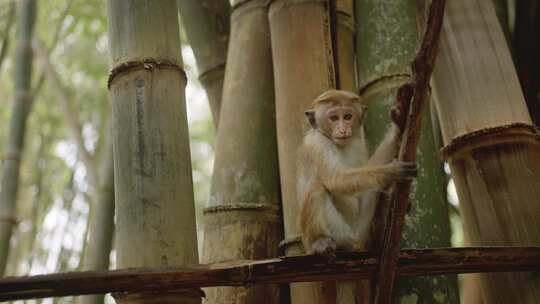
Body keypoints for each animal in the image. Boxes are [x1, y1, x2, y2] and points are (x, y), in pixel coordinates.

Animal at [296, 88, 418, 256]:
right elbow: (335, 180)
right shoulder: (317, 143)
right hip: (339, 233)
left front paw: (399, 124)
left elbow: (369, 168)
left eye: (348, 116)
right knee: (316, 188)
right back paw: (319, 242)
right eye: (334, 118)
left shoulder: (358, 142)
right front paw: (393, 170)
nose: (343, 130)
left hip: (361, 231)